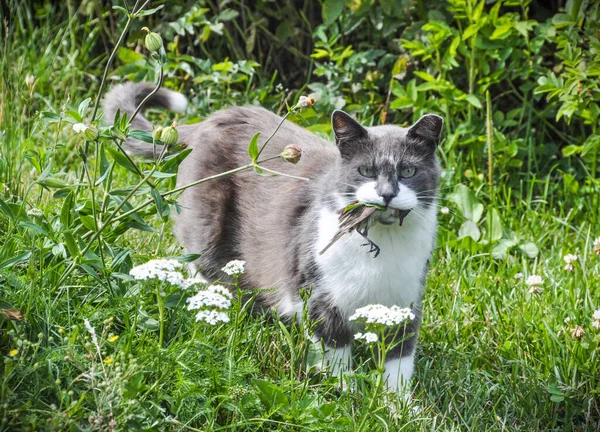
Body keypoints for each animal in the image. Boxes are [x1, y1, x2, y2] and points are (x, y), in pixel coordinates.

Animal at [103, 82, 442, 396]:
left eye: (408, 171)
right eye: (367, 170)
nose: (386, 194)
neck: (383, 247)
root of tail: (209, 120)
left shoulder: (406, 299)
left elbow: (399, 358)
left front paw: (398, 405)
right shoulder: (317, 290)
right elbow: (334, 347)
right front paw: (343, 392)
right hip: (207, 221)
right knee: (202, 263)